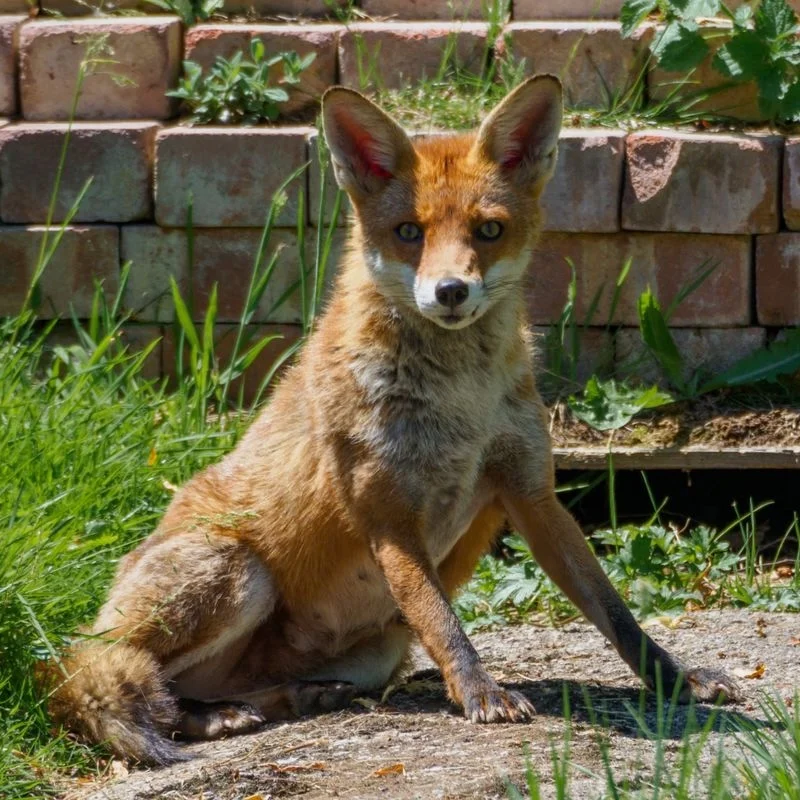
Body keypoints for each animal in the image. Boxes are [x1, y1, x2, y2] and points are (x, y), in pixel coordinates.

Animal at [45, 75, 738, 766]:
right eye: (409, 231)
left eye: (489, 230)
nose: (451, 291)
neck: (462, 403)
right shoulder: (387, 514)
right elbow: (442, 618)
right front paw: (481, 694)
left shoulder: (531, 494)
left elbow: (615, 612)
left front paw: (677, 679)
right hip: (237, 574)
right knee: (102, 677)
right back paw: (206, 716)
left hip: (376, 650)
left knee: (203, 685)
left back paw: (287, 699)